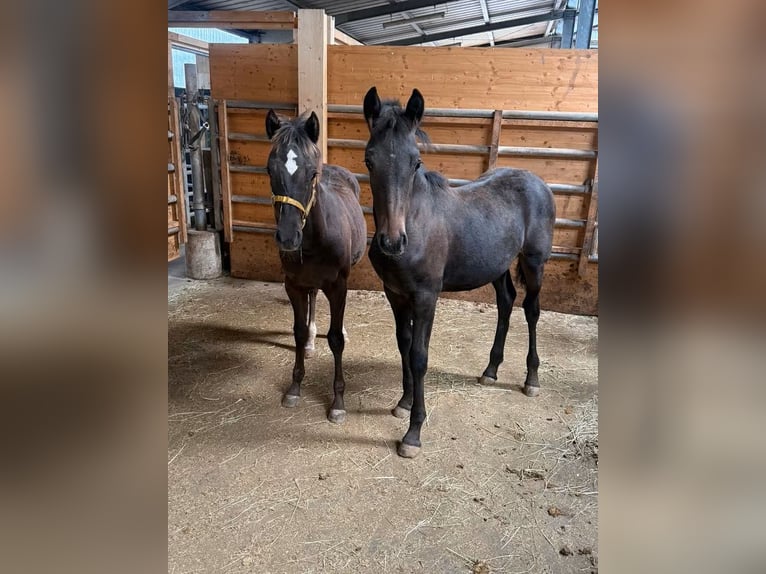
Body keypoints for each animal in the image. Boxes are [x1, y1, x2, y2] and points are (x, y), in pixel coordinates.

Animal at [265, 109, 367, 424]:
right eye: (269, 171)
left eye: (311, 173)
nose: (288, 237)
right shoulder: (293, 285)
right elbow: (297, 331)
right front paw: (295, 387)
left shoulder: (338, 285)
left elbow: (335, 340)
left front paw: (338, 402)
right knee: (312, 299)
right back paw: (311, 340)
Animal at [362, 87, 556, 458]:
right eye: (369, 159)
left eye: (415, 161)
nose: (392, 242)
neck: (416, 222)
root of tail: (538, 182)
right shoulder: (395, 294)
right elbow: (403, 344)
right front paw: (404, 402)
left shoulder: (426, 297)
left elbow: (419, 356)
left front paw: (413, 433)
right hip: (497, 265)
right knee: (506, 302)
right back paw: (491, 370)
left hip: (534, 261)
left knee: (532, 310)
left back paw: (532, 380)